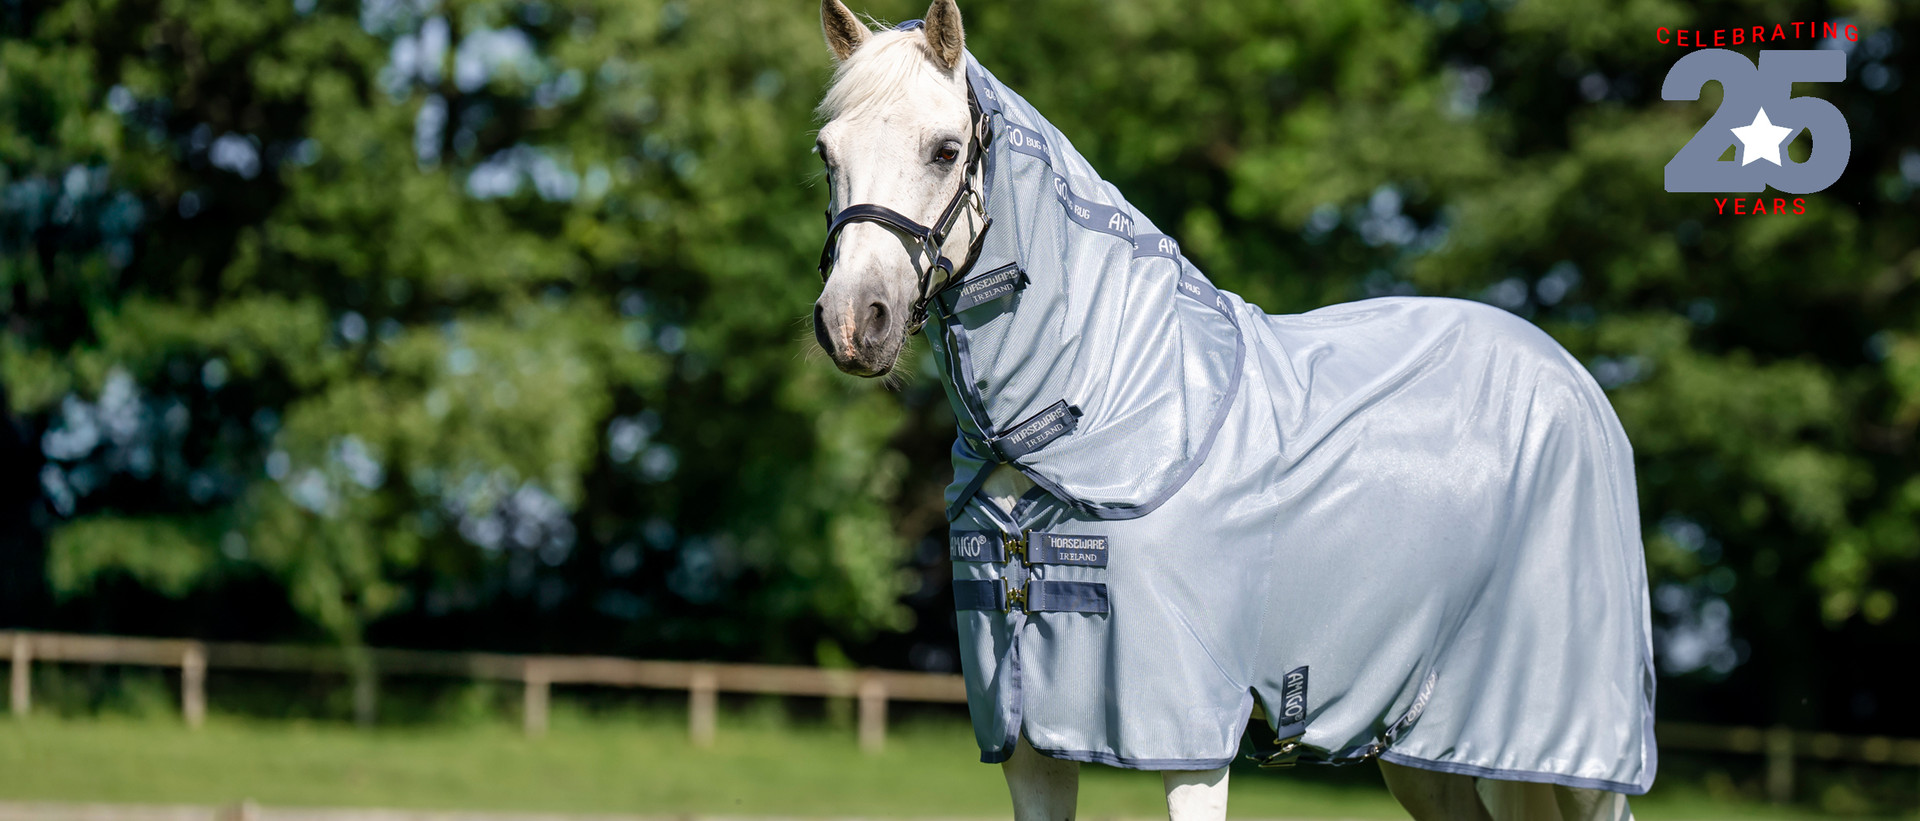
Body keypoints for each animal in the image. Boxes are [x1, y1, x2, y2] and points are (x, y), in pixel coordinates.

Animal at [807, 3, 1655, 819]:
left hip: (1574, 752)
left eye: (946, 149)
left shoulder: (1186, 734)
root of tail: (1575, 379)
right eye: (826, 154)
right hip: (1426, 747)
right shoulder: (1025, 740)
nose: (853, 322)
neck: (1107, 407)